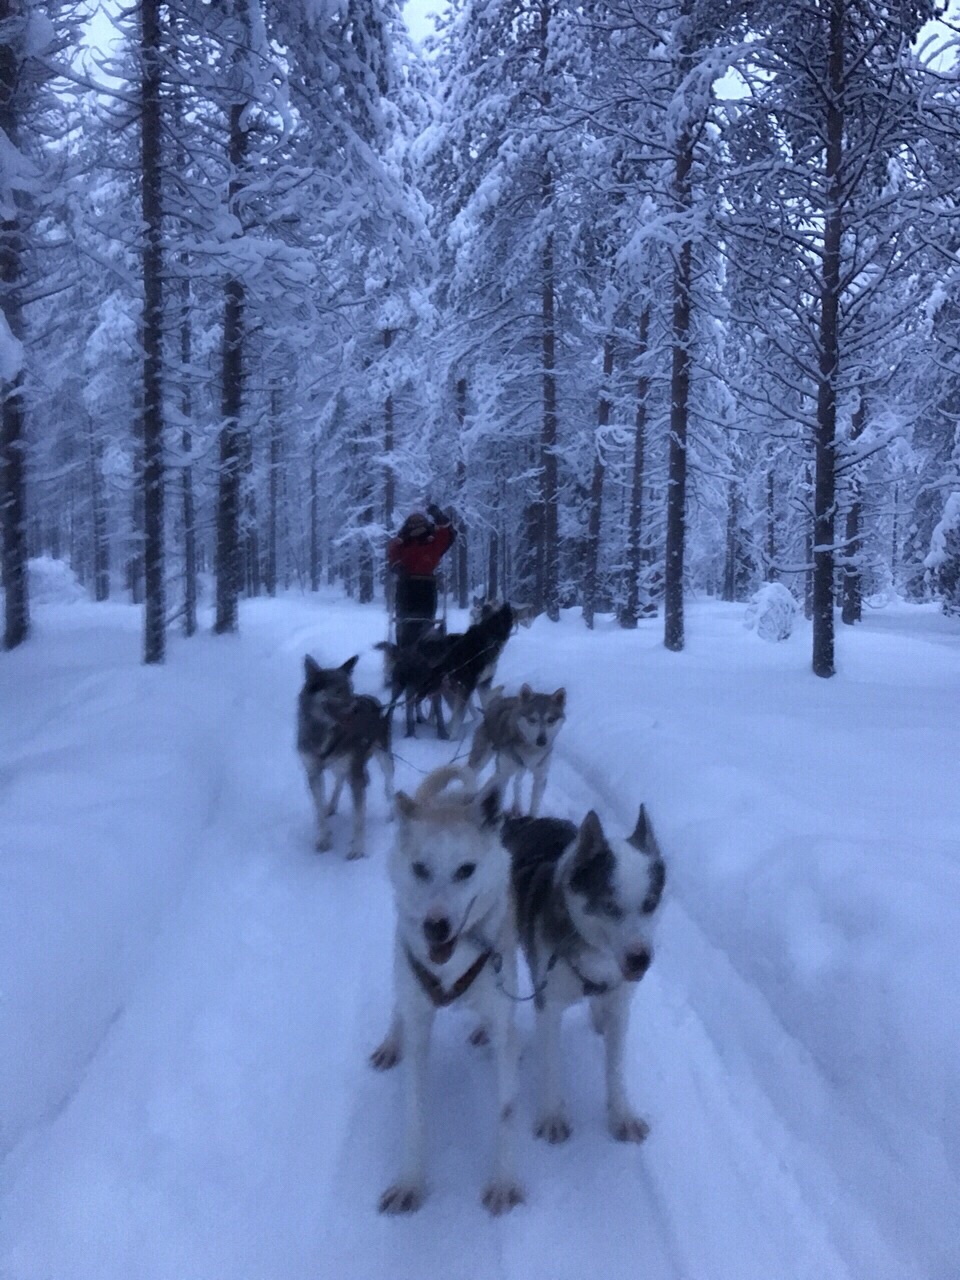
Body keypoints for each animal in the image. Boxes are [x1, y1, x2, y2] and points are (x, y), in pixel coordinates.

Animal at [296, 655, 394, 855]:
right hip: (342, 764)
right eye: (339, 690)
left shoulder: (355, 774)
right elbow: (319, 811)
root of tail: (374, 701)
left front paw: (357, 848)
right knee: (340, 780)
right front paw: (324, 838)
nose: (356, 707)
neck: (324, 731)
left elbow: (358, 818)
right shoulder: (313, 772)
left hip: (383, 756)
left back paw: (391, 811)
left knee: (388, 784)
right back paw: (331, 805)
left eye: (351, 688)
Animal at [371, 762, 522, 1213]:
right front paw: (410, 1181)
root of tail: (445, 799)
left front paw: (504, 1181)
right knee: (399, 1005)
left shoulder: (503, 1020)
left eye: (465, 870)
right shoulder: (420, 1023)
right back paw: (391, 1041)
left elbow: (506, 1110)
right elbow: (415, 1113)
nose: (434, 926)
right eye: (421, 868)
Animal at [471, 686, 568, 814]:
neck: (531, 750)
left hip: (519, 768)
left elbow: (534, 806)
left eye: (551, 719)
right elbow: (495, 795)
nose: (541, 741)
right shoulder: (502, 773)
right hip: (482, 759)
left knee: (517, 783)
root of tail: (497, 703)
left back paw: (517, 806)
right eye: (532, 719)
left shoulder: (540, 777)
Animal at [499, 803, 665, 1146]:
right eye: (610, 907)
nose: (641, 960)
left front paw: (622, 1114)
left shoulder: (619, 1004)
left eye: (650, 904)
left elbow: (616, 1068)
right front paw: (552, 1115)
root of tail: (526, 821)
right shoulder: (548, 1005)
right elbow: (551, 1063)